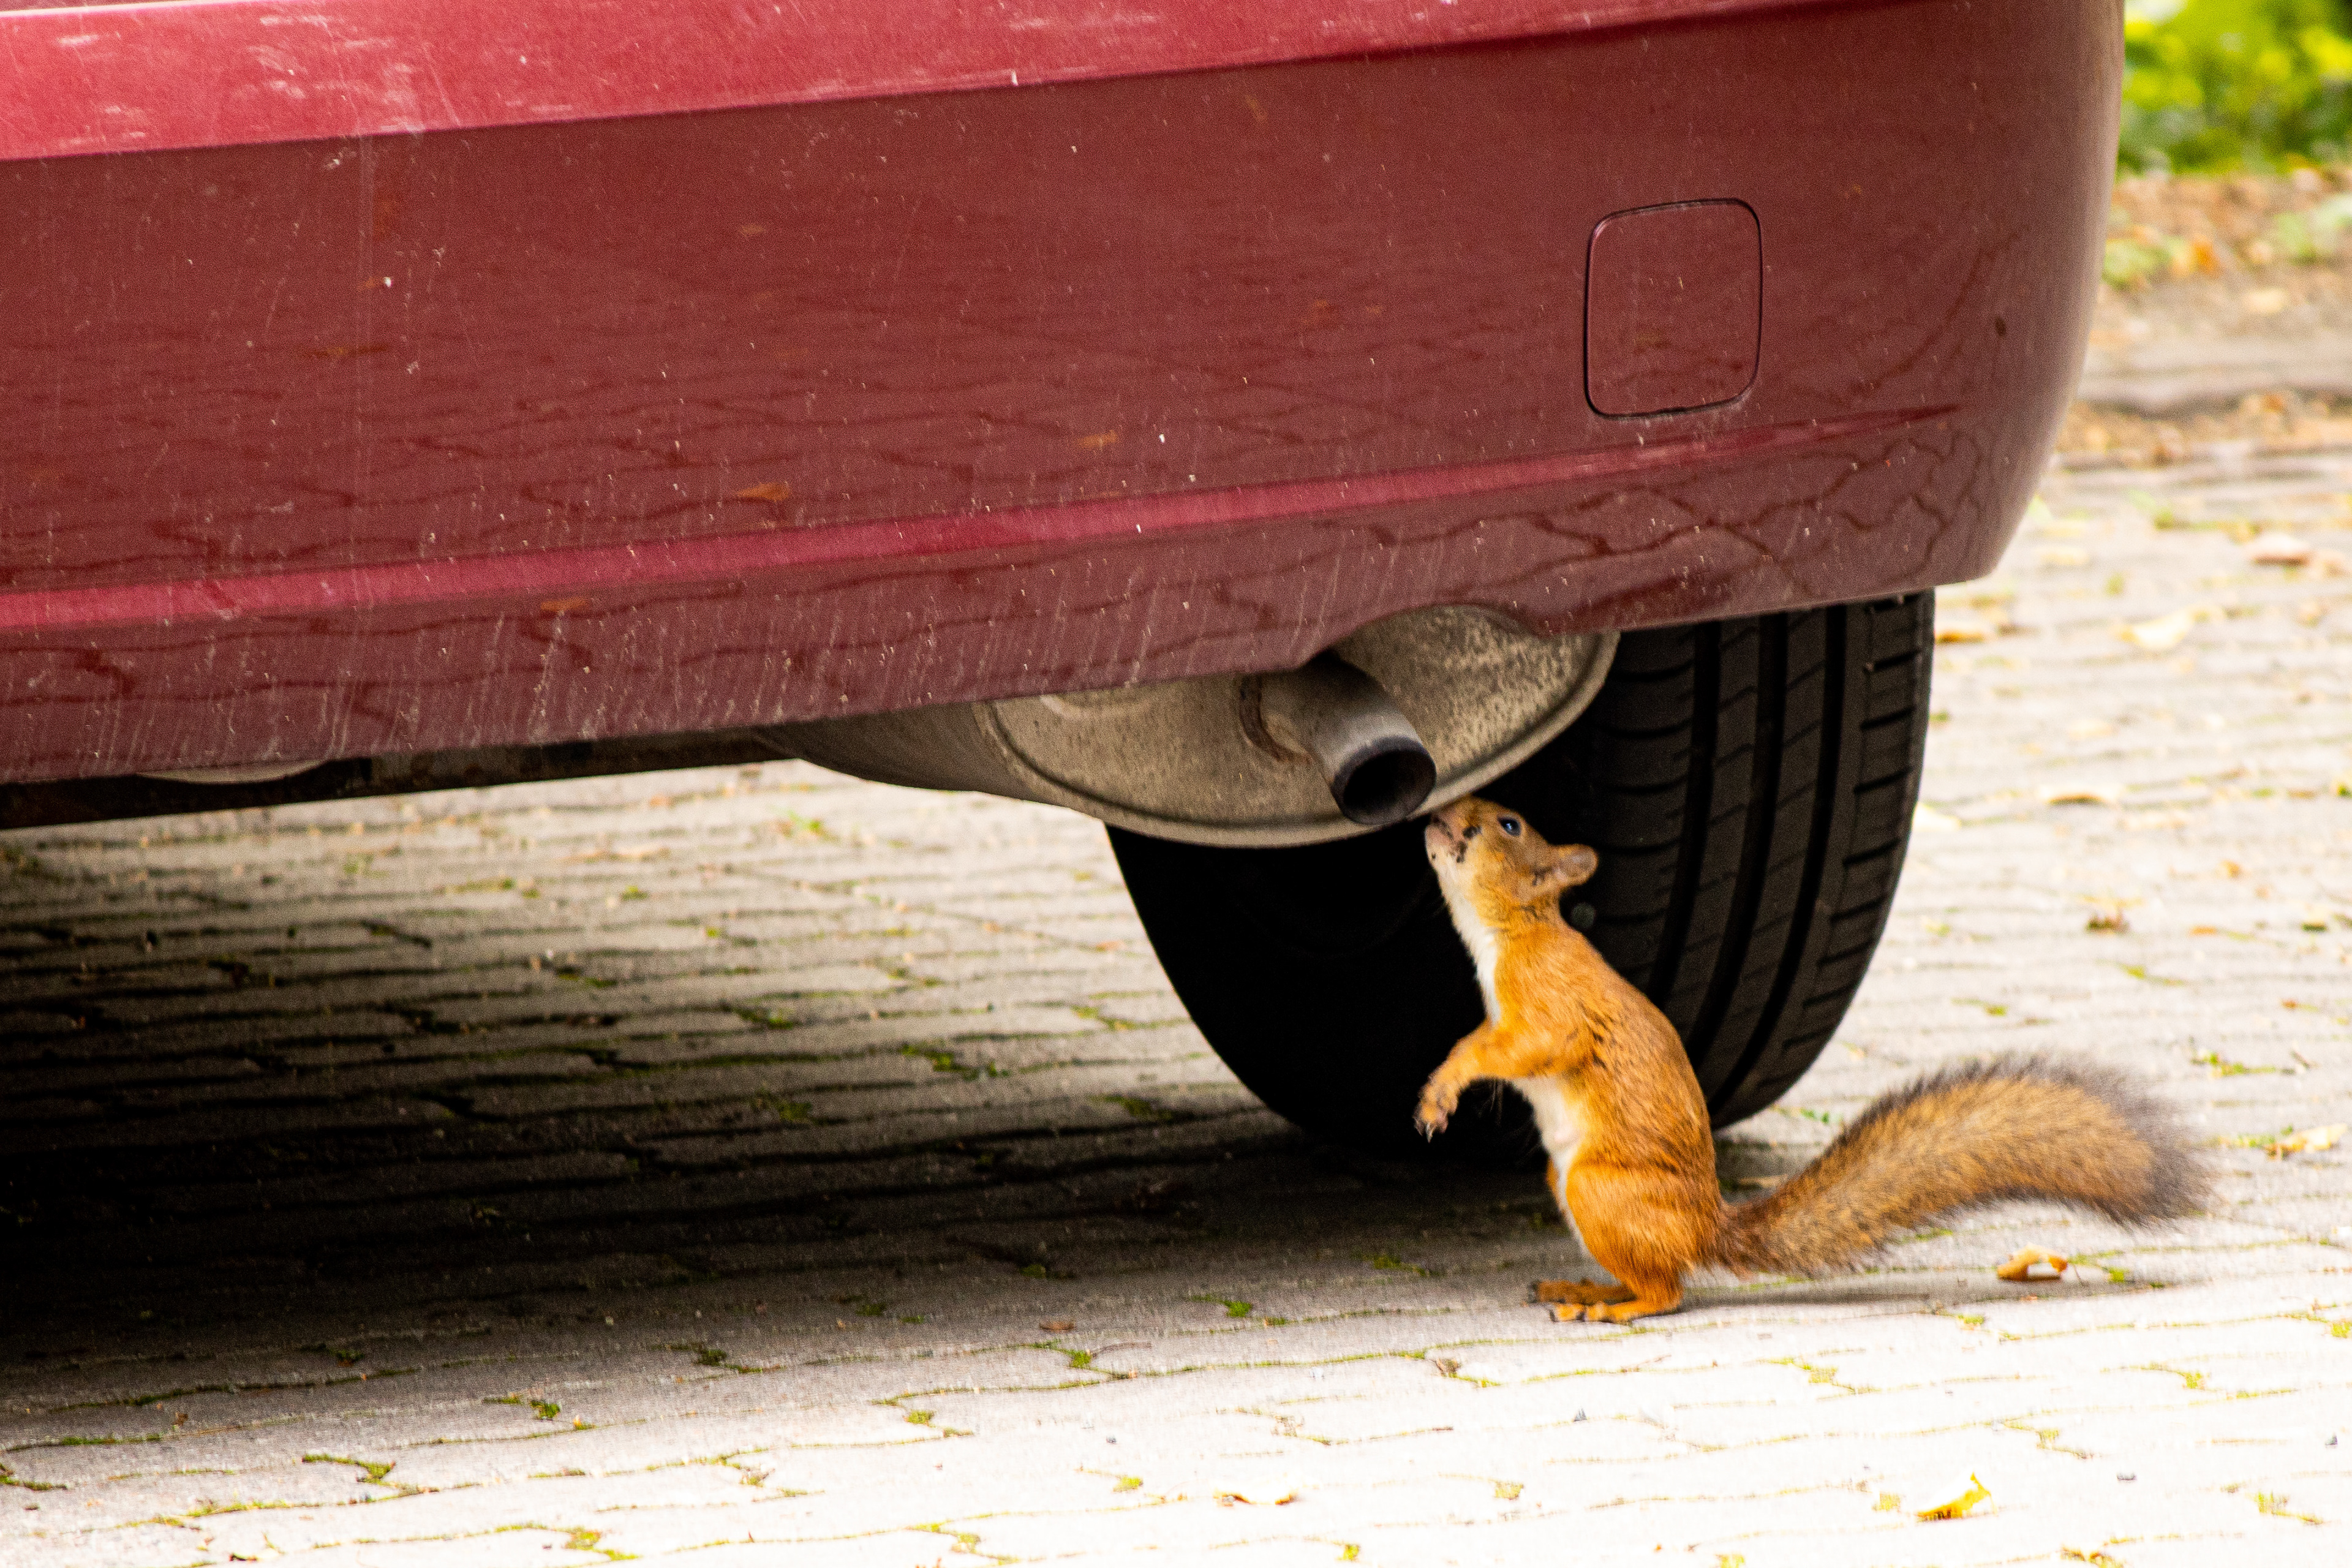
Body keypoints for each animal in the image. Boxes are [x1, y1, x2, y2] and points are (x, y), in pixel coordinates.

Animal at [1413, 795, 2209, 1323]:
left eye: (1507, 824)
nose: (1437, 814)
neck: (1510, 932)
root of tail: (1707, 1225)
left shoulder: (1552, 1007)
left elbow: (1518, 1047)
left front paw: (1443, 1086)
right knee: (1654, 1273)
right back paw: (1588, 1288)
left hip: (1597, 1189)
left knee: (1668, 1290)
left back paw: (1614, 1307)